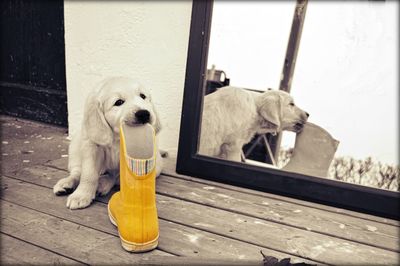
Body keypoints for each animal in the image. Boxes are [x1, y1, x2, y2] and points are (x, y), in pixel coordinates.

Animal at [53, 77, 162, 210]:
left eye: (143, 96)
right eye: (118, 102)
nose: (144, 113)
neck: (116, 137)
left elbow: (124, 177)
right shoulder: (91, 146)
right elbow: (88, 173)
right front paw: (81, 195)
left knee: (114, 176)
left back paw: (102, 184)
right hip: (75, 147)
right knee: (77, 171)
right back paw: (66, 184)